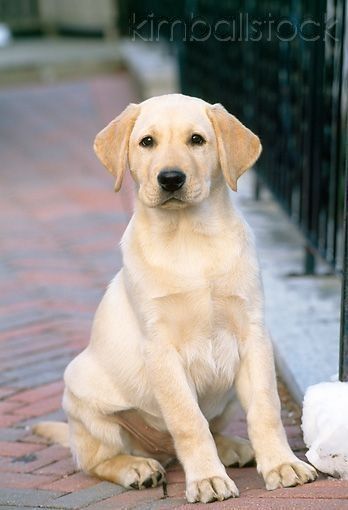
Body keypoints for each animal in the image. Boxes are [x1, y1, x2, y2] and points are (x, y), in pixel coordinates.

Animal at [34, 94, 316, 502]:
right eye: (147, 142)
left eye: (196, 140)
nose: (170, 178)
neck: (188, 236)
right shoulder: (161, 349)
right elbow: (188, 421)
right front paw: (207, 479)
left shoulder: (253, 335)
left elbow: (266, 409)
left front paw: (281, 465)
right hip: (83, 396)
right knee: (95, 461)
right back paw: (137, 467)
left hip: (227, 397)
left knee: (214, 429)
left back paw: (234, 447)